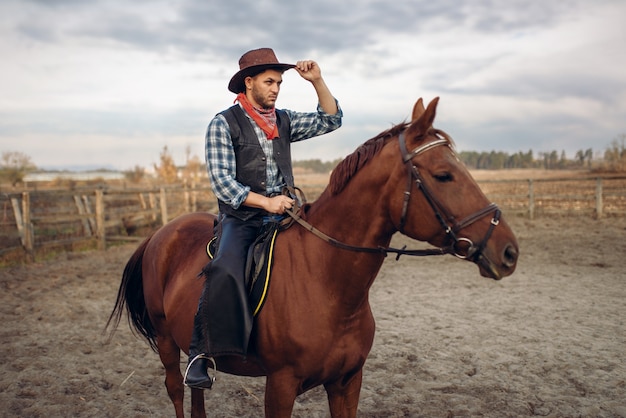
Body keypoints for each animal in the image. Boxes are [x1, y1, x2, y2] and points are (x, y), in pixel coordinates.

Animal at [107, 96, 516, 416]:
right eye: (444, 175)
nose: (509, 250)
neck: (326, 282)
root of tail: (159, 234)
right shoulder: (281, 385)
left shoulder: (347, 382)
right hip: (165, 340)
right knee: (177, 390)